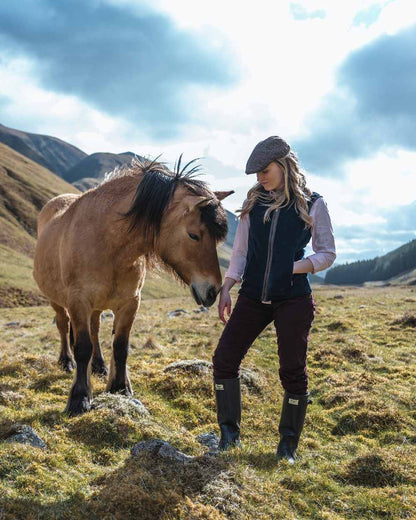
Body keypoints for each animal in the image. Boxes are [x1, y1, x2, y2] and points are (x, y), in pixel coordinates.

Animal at [33, 154, 232, 414]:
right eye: (193, 235)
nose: (212, 291)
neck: (108, 242)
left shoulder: (130, 304)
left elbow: (120, 346)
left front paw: (119, 387)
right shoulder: (78, 302)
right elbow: (83, 347)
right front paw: (79, 398)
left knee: (95, 329)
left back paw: (99, 366)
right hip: (57, 301)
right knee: (63, 327)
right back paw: (66, 362)